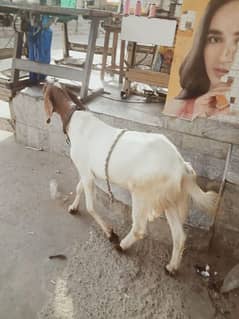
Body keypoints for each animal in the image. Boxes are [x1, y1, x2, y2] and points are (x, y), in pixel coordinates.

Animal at [43, 84, 218, 276]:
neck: (74, 117)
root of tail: (181, 167)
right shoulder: (87, 171)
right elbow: (78, 187)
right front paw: (73, 207)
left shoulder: (87, 173)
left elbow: (90, 206)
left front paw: (110, 233)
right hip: (168, 198)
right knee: (179, 235)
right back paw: (171, 267)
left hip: (142, 193)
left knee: (140, 228)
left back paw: (121, 246)